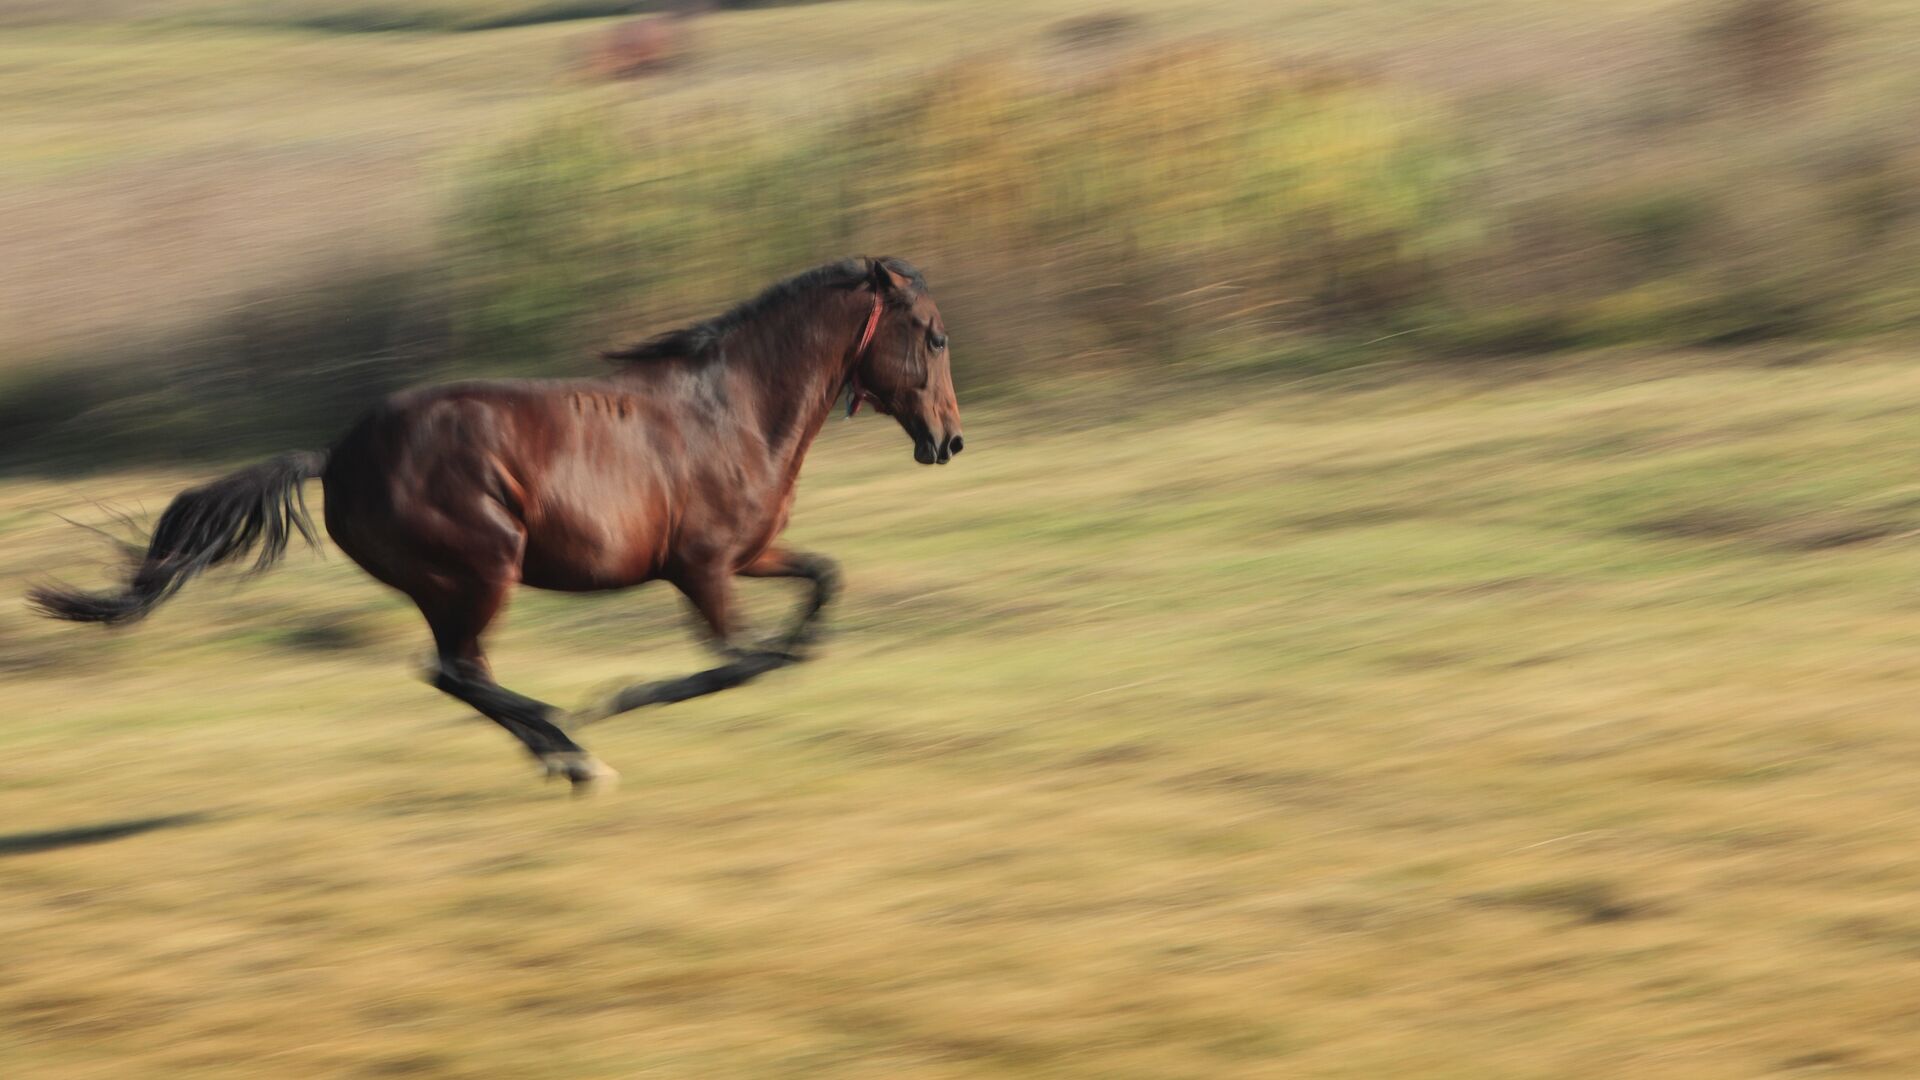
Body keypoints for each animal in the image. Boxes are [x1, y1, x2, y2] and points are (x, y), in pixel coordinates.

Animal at [30, 255, 960, 787]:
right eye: (935, 336)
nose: (949, 440)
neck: (732, 411)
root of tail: (337, 456)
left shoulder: (749, 553)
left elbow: (822, 584)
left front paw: (807, 645)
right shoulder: (700, 568)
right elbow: (738, 661)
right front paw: (616, 699)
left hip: (455, 582)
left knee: (453, 670)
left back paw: (557, 745)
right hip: (481, 567)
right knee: (454, 670)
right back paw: (570, 744)